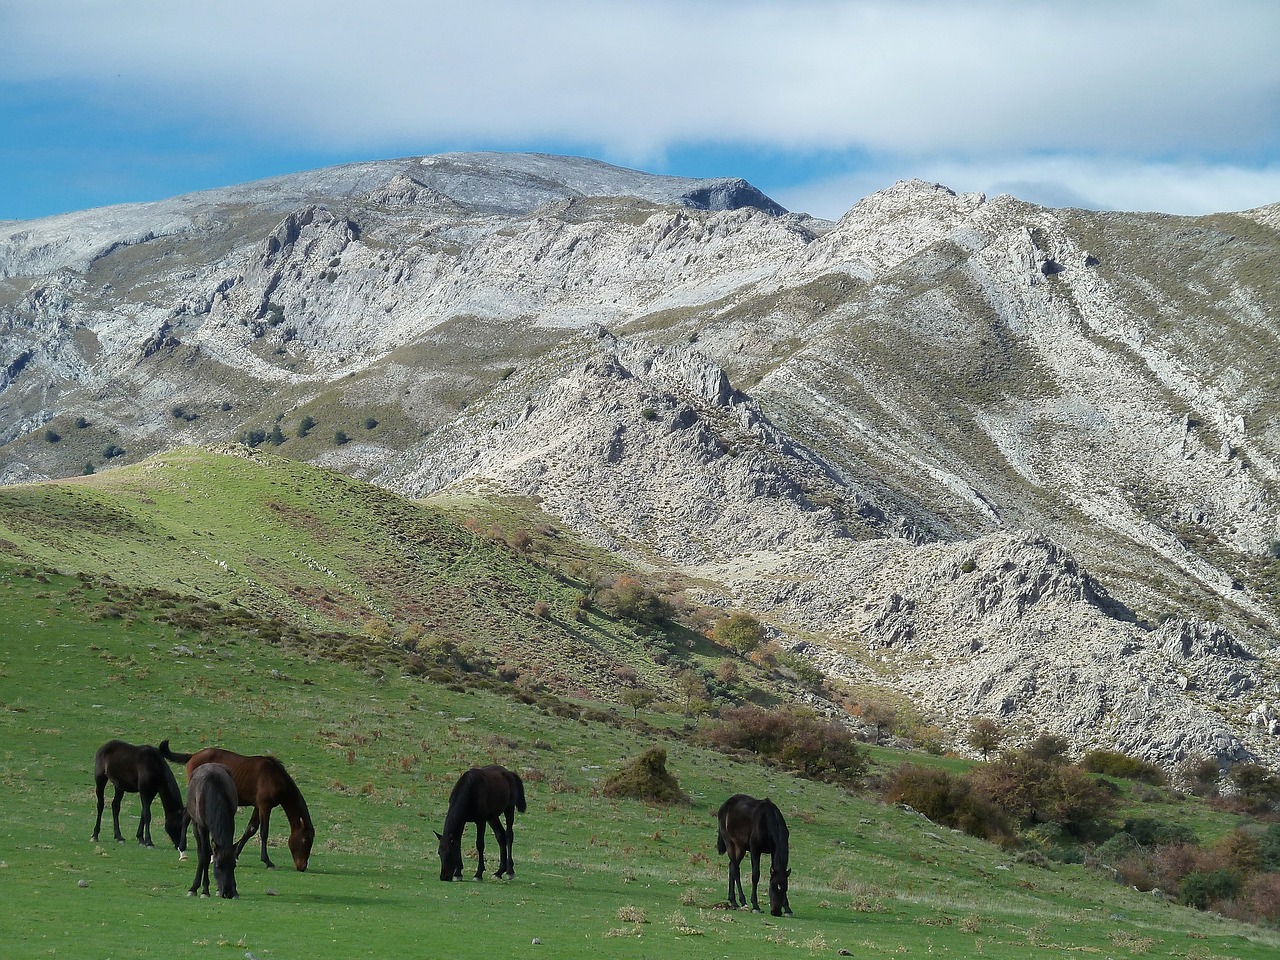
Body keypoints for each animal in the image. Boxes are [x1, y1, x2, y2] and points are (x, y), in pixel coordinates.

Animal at [160, 742, 314, 875]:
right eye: (305, 840)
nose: (302, 867)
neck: (274, 776)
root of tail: (193, 756)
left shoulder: (258, 806)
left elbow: (250, 829)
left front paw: (234, 854)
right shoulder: (265, 806)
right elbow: (264, 832)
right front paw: (267, 861)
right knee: (187, 816)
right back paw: (183, 851)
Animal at [186, 757, 239, 901]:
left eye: (234, 865)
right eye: (218, 865)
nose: (227, 893)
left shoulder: (231, 821)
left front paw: (235, 891)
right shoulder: (202, 826)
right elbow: (204, 855)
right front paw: (203, 890)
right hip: (195, 825)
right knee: (201, 851)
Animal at [716, 793, 793, 921]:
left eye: (785, 888)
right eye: (772, 887)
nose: (776, 912)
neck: (767, 821)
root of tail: (724, 806)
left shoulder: (773, 851)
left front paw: (788, 909)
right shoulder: (755, 850)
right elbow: (755, 875)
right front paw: (755, 905)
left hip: (740, 847)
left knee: (731, 866)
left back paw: (733, 901)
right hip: (730, 843)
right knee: (735, 869)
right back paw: (742, 902)